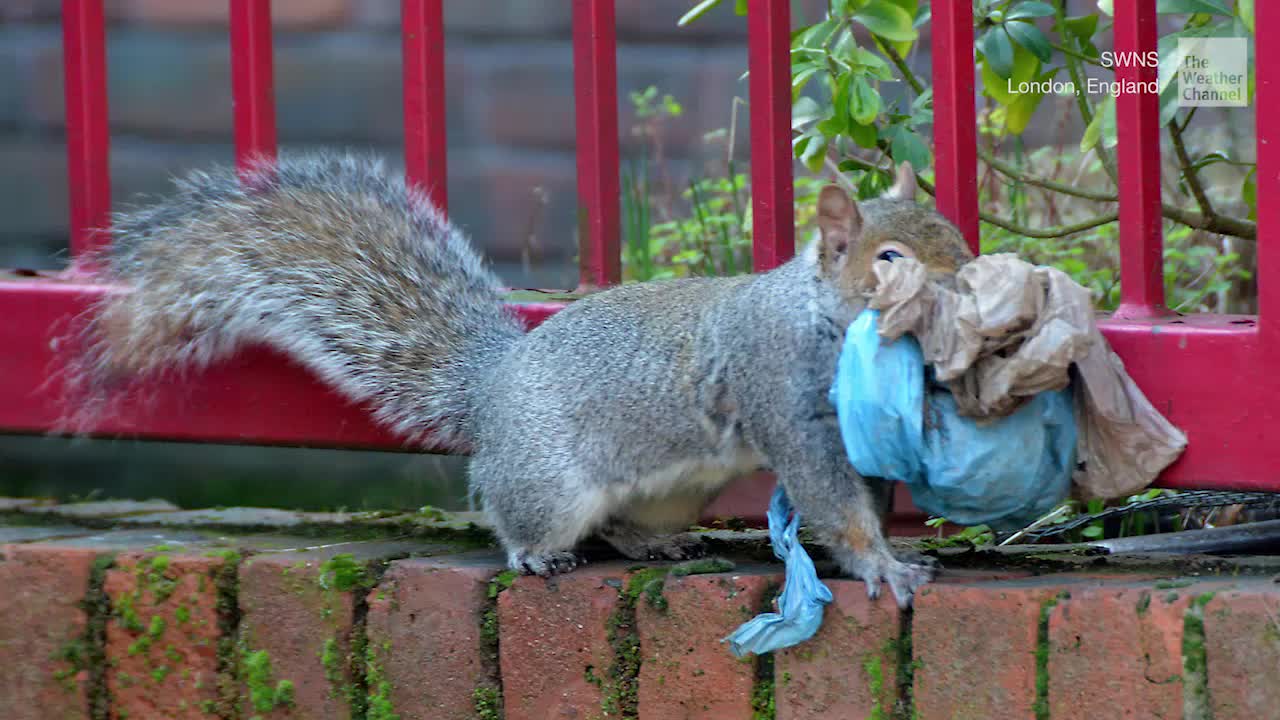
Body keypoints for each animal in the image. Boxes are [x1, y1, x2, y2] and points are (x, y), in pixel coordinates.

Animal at [75, 152, 974, 607]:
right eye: (887, 258)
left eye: (953, 230)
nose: (969, 279)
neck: (821, 318)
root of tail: (492, 387)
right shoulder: (783, 396)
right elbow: (833, 501)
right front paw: (883, 568)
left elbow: (866, 493)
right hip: (549, 479)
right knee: (525, 523)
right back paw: (540, 557)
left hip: (671, 487)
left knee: (623, 522)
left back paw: (650, 540)